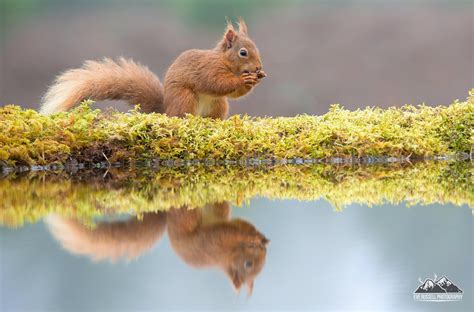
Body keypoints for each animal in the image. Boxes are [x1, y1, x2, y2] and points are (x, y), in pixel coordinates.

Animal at [39, 18, 264, 119]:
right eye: (243, 52)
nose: (259, 67)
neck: (225, 62)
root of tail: (166, 111)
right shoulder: (208, 69)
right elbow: (216, 83)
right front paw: (244, 79)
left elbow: (233, 93)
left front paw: (254, 80)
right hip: (185, 98)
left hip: (219, 105)